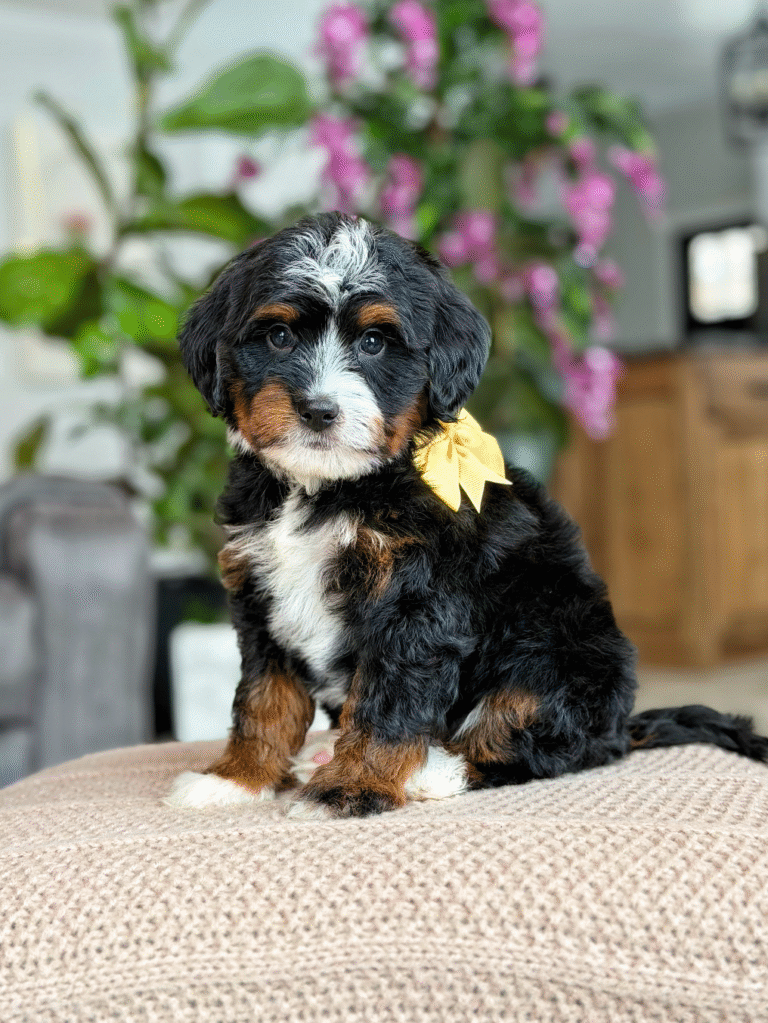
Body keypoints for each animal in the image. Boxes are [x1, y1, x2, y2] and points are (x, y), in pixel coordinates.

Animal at [165, 211, 768, 818]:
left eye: (375, 342)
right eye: (279, 336)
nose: (318, 410)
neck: (329, 486)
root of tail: (624, 725)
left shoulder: (418, 598)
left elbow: (389, 700)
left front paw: (349, 789)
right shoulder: (261, 593)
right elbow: (264, 697)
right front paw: (239, 777)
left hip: (563, 650)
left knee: (536, 738)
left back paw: (433, 770)